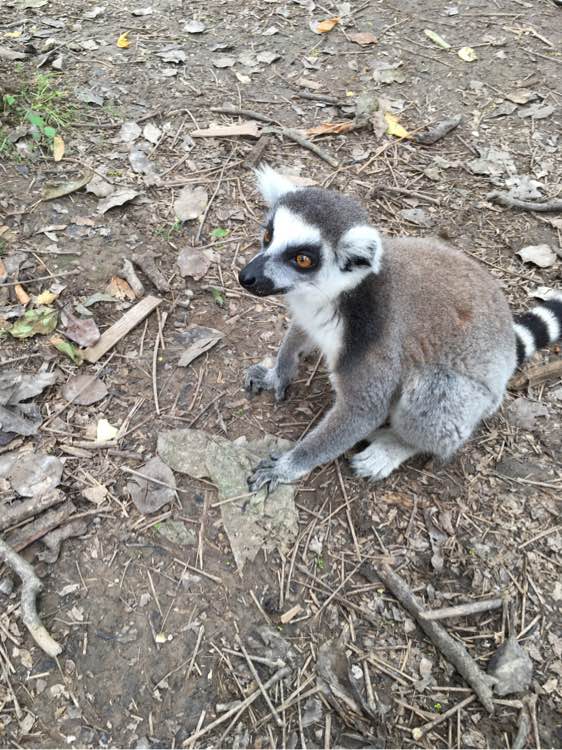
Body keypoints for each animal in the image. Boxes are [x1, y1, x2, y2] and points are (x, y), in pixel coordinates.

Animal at [238, 166, 562, 492]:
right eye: (268, 235)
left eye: (302, 259)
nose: (246, 277)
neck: (336, 295)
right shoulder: (310, 311)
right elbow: (299, 334)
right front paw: (277, 374)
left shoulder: (374, 337)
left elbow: (364, 408)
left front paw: (287, 466)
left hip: (475, 401)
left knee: (435, 394)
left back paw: (396, 446)